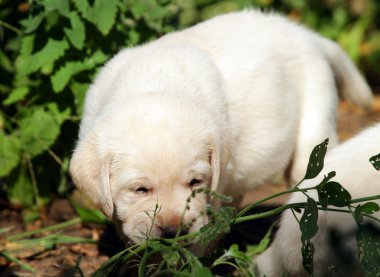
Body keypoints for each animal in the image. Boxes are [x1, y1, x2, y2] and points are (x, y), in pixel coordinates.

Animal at [68, 10, 372, 243]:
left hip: (314, 129)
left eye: (195, 182)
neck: (151, 83)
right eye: (139, 190)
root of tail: (306, 35)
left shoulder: (217, 189)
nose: (173, 231)